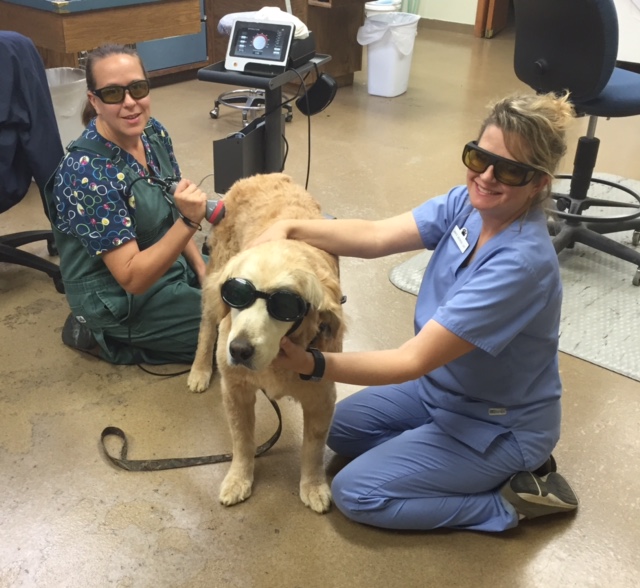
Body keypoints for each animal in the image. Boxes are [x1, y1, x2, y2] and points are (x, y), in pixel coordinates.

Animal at [186, 172, 344, 512]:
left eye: (284, 306)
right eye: (237, 294)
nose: (239, 350)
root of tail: (261, 175)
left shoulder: (322, 397)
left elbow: (313, 449)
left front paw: (313, 486)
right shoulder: (236, 390)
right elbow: (243, 441)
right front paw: (239, 478)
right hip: (213, 285)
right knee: (207, 327)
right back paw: (199, 370)